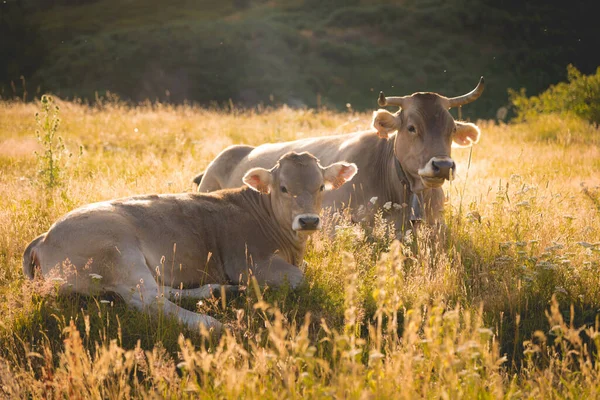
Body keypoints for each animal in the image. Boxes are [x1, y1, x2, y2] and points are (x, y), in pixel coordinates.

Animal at [23, 153, 356, 334]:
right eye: (284, 188)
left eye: (322, 186)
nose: (308, 220)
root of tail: (44, 237)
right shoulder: (250, 263)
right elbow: (299, 278)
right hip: (118, 253)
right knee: (150, 301)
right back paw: (213, 324)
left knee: (163, 291)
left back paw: (218, 291)